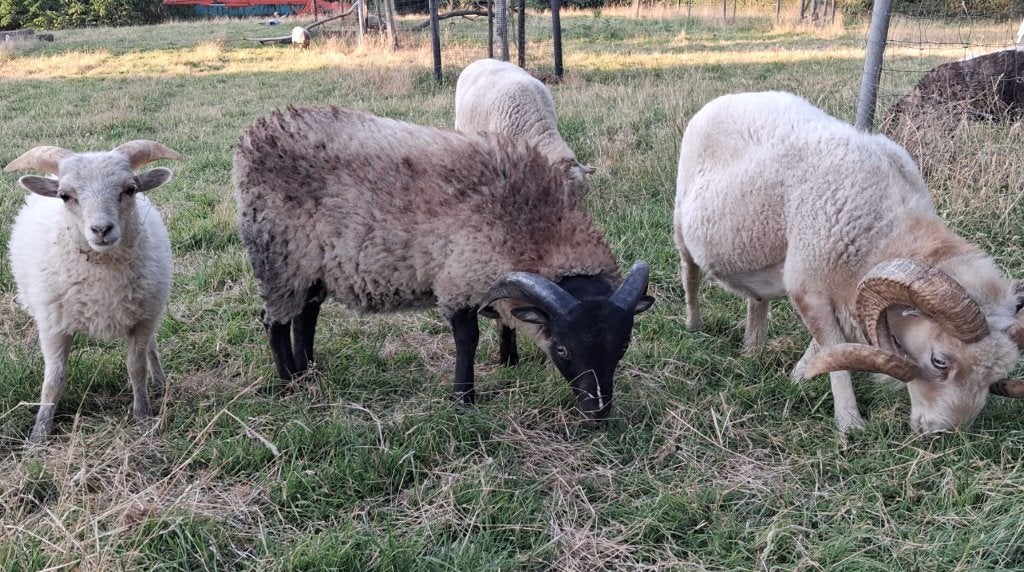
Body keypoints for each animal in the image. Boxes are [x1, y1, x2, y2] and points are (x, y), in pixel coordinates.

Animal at [3, 140, 181, 443]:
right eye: (64, 196)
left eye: (130, 189)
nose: (101, 229)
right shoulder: (53, 326)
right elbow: (53, 380)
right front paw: (39, 433)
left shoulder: (142, 320)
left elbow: (136, 369)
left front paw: (143, 416)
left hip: (150, 306)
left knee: (152, 348)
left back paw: (160, 381)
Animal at [233, 106, 653, 421]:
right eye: (563, 350)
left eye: (623, 344)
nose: (598, 411)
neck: (534, 222)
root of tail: (255, 134)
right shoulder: (459, 281)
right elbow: (467, 340)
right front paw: (463, 398)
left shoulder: (490, 277)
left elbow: (504, 320)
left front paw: (509, 360)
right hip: (280, 256)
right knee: (274, 321)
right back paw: (289, 381)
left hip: (314, 262)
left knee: (306, 314)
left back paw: (308, 370)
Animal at [673, 91, 1024, 434]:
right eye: (940, 360)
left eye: (996, 376)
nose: (945, 434)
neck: (880, 231)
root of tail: (730, 96)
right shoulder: (807, 289)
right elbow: (833, 349)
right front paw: (849, 423)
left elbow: (828, 350)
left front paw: (799, 377)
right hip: (681, 223)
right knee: (690, 275)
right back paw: (693, 324)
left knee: (756, 300)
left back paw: (753, 348)